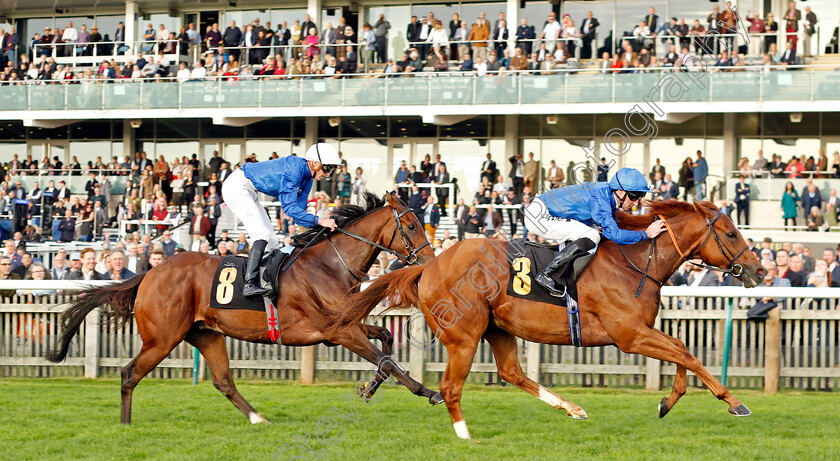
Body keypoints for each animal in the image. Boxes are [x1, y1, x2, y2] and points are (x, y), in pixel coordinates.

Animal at [46, 192, 442, 422]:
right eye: (410, 225)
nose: (431, 261)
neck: (329, 264)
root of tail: (149, 272)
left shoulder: (341, 327)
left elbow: (386, 343)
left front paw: (369, 387)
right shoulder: (338, 330)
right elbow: (387, 359)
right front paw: (429, 392)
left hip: (205, 334)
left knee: (223, 381)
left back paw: (258, 419)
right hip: (162, 338)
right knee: (129, 374)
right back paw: (126, 426)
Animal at [328, 201, 768, 438]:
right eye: (731, 234)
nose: (759, 270)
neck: (636, 262)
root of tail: (429, 265)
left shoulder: (640, 331)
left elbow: (681, 351)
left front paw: (666, 401)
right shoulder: (629, 335)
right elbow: (687, 354)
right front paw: (735, 402)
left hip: (497, 329)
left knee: (512, 373)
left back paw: (572, 408)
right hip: (464, 337)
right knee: (451, 388)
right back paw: (464, 433)